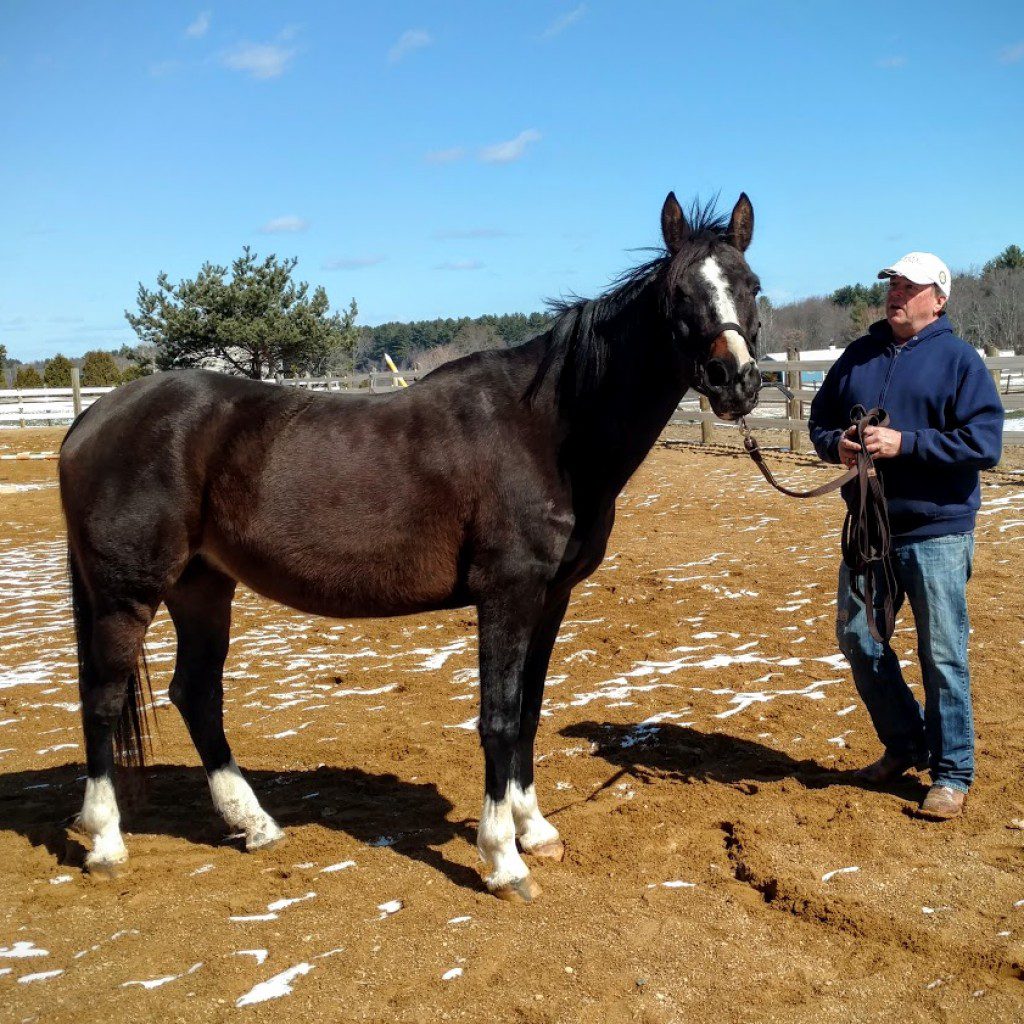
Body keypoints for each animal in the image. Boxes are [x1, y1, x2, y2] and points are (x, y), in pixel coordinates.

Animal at [56, 190, 761, 897]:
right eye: (677, 294)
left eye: (751, 286)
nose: (735, 380)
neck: (548, 429)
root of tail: (93, 417)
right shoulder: (507, 595)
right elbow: (499, 716)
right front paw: (503, 858)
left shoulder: (550, 598)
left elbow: (529, 711)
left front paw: (536, 831)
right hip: (127, 596)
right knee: (103, 698)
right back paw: (107, 842)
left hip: (201, 586)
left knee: (196, 693)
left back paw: (254, 824)